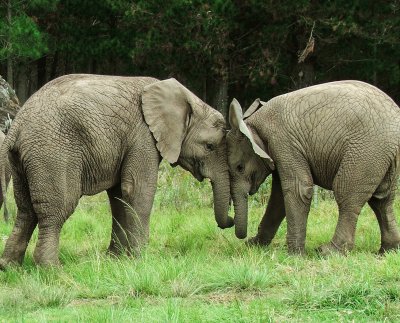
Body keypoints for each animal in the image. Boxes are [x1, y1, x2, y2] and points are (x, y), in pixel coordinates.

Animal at [0, 74, 233, 268]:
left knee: (26, 210)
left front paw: (116, 259)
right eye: (210, 146)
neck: (187, 98)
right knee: (56, 210)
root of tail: (17, 124)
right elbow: (137, 190)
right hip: (53, 153)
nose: (230, 221)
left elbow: (119, 195)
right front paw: (141, 260)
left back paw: (10, 267)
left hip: (22, 161)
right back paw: (51, 269)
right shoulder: (143, 136)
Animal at [227, 80, 400, 256]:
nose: (243, 239)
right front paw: (255, 245)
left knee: (346, 195)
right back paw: (387, 251)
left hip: (365, 151)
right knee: (382, 200)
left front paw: (295, 255)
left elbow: (298, 190)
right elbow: (279, 196)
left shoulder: (284, 143)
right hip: (383, 156)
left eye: (239, 167)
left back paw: (328, 252)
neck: (254, 123)